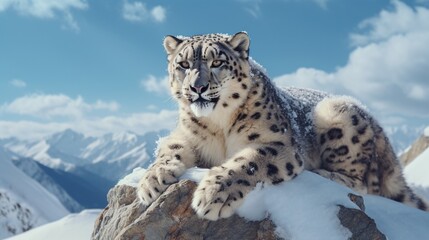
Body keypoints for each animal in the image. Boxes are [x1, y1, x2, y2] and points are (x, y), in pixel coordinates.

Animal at [136, 32, 424, 221]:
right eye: (183, 65)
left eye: (216, 62)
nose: (197, 87)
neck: (218, 123)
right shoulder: (184, 134)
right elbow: (168, 148)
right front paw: (151, 180)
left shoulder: (278, 144)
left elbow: (248, 163)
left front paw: (213, 194)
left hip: (338, 115)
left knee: (363, 184)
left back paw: (324, 174)